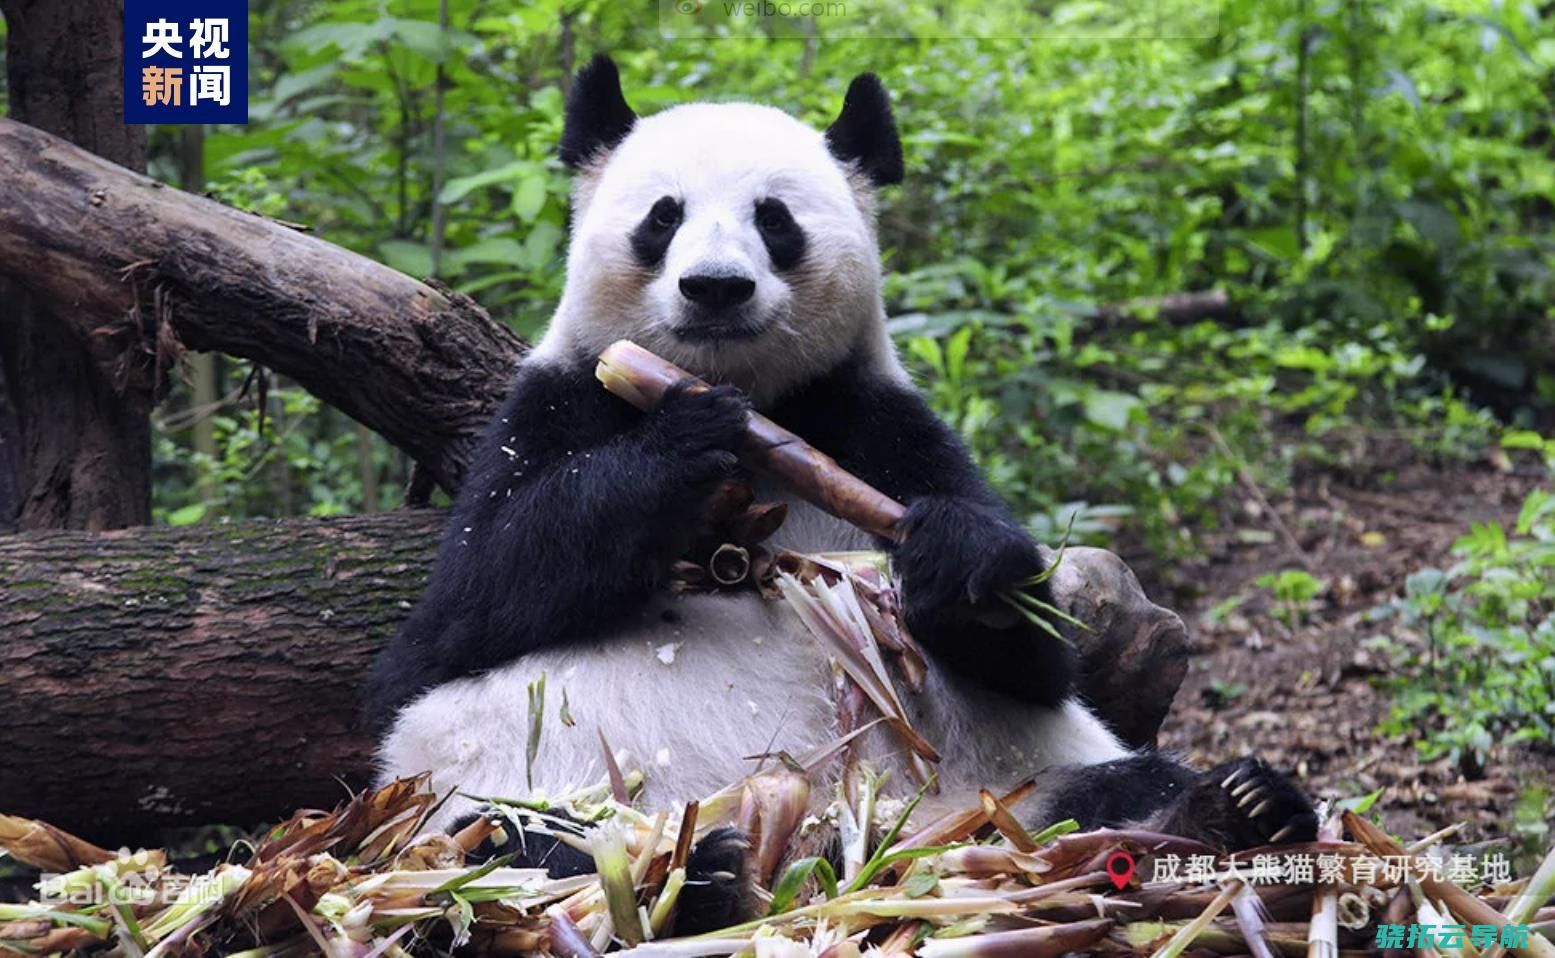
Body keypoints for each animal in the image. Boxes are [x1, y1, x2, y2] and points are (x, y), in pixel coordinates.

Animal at [370, 54, 1318, 933]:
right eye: (663, 216)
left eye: (774, 219)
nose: (715, 287)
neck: (756, 402)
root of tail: (849, 845)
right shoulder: (552, 407)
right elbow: (462, 614)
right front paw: (683, 441)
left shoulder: (874, 423)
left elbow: (1036, 659)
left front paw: (961, 557)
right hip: (489, 790)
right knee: (515, 852)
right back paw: (694, 875)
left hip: (1003, 781)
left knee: (1114, 789)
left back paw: (1236, 809)